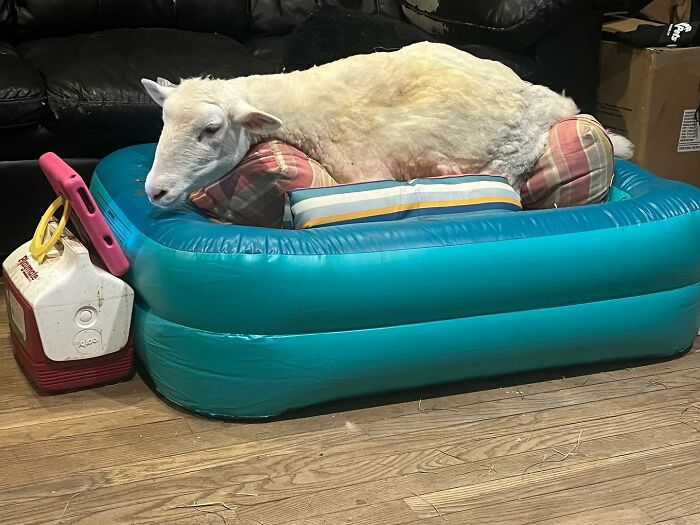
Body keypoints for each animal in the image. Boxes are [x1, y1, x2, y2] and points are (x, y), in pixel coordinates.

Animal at [142, 42, 632, 207]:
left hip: (499, 162)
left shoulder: (365, 171)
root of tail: (551, 104)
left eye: (211, 129)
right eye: (162, 122)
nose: (154, 191)